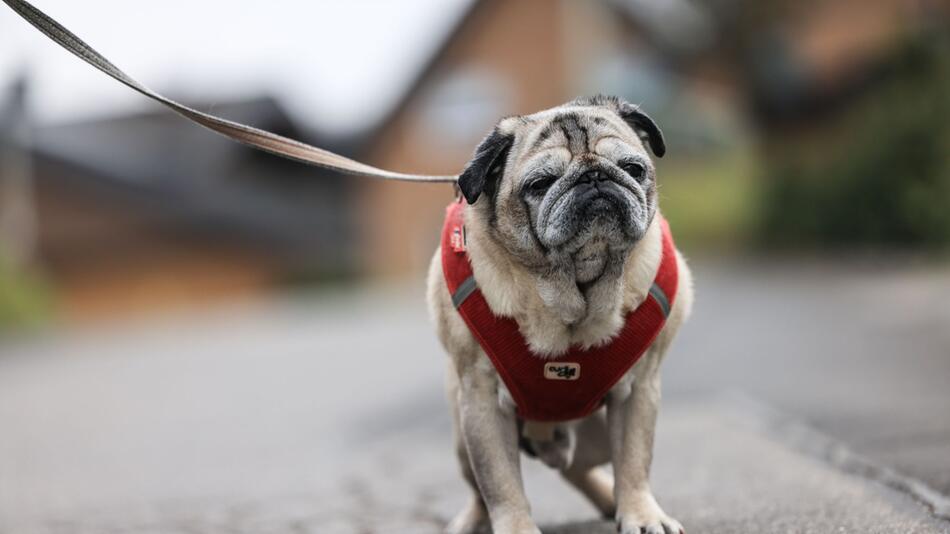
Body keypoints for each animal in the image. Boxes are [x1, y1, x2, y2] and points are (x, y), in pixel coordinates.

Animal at [428, 96, 696, 534]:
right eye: (540, 184)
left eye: (633, 169)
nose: (594, 178)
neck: (574, 290)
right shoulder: (481, 401)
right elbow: (500, 483)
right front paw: (516, 527)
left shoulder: (640, 391)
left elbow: (635, 462)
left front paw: (641, 515)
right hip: (460, 435)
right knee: (480, 490)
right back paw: (471, 522)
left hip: (595, 439)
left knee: (579, 469)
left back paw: (608, 500)